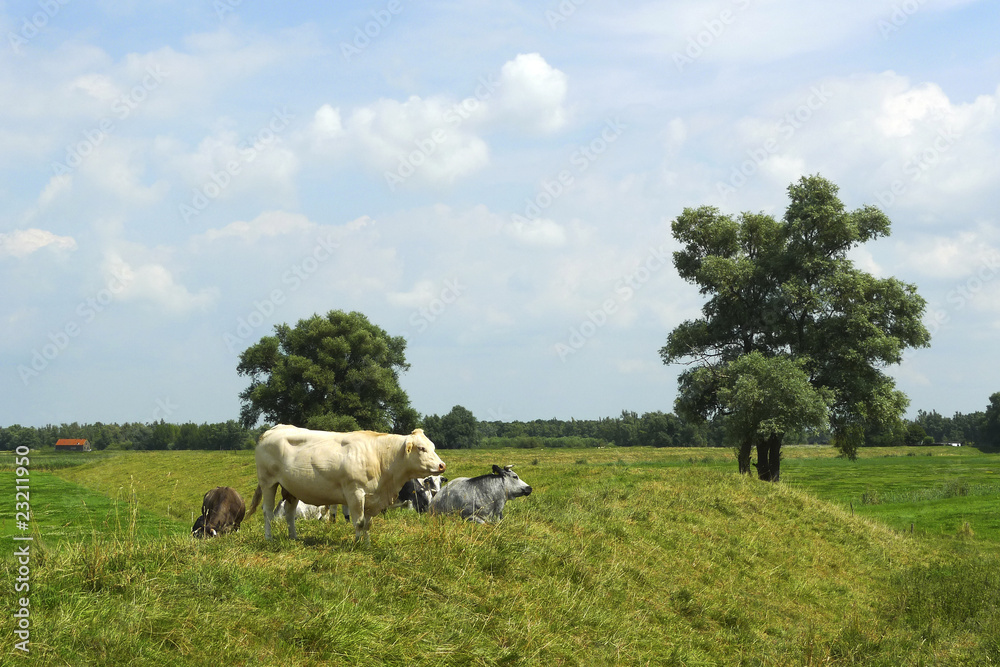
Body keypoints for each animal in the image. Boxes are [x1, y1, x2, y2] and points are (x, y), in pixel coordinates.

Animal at [246, 426, 446, 544]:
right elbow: (359, 522)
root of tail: (273, 429)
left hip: (291, 488)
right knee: (267, 512)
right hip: (268, 482)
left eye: (433, 446)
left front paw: (367, 544)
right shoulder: (355, 493)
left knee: (289, 513)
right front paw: (357, 544)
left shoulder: (372, 499)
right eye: (421, 448)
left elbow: (367, 524)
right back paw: (269, 538)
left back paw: (294, 537)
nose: (441, 465)